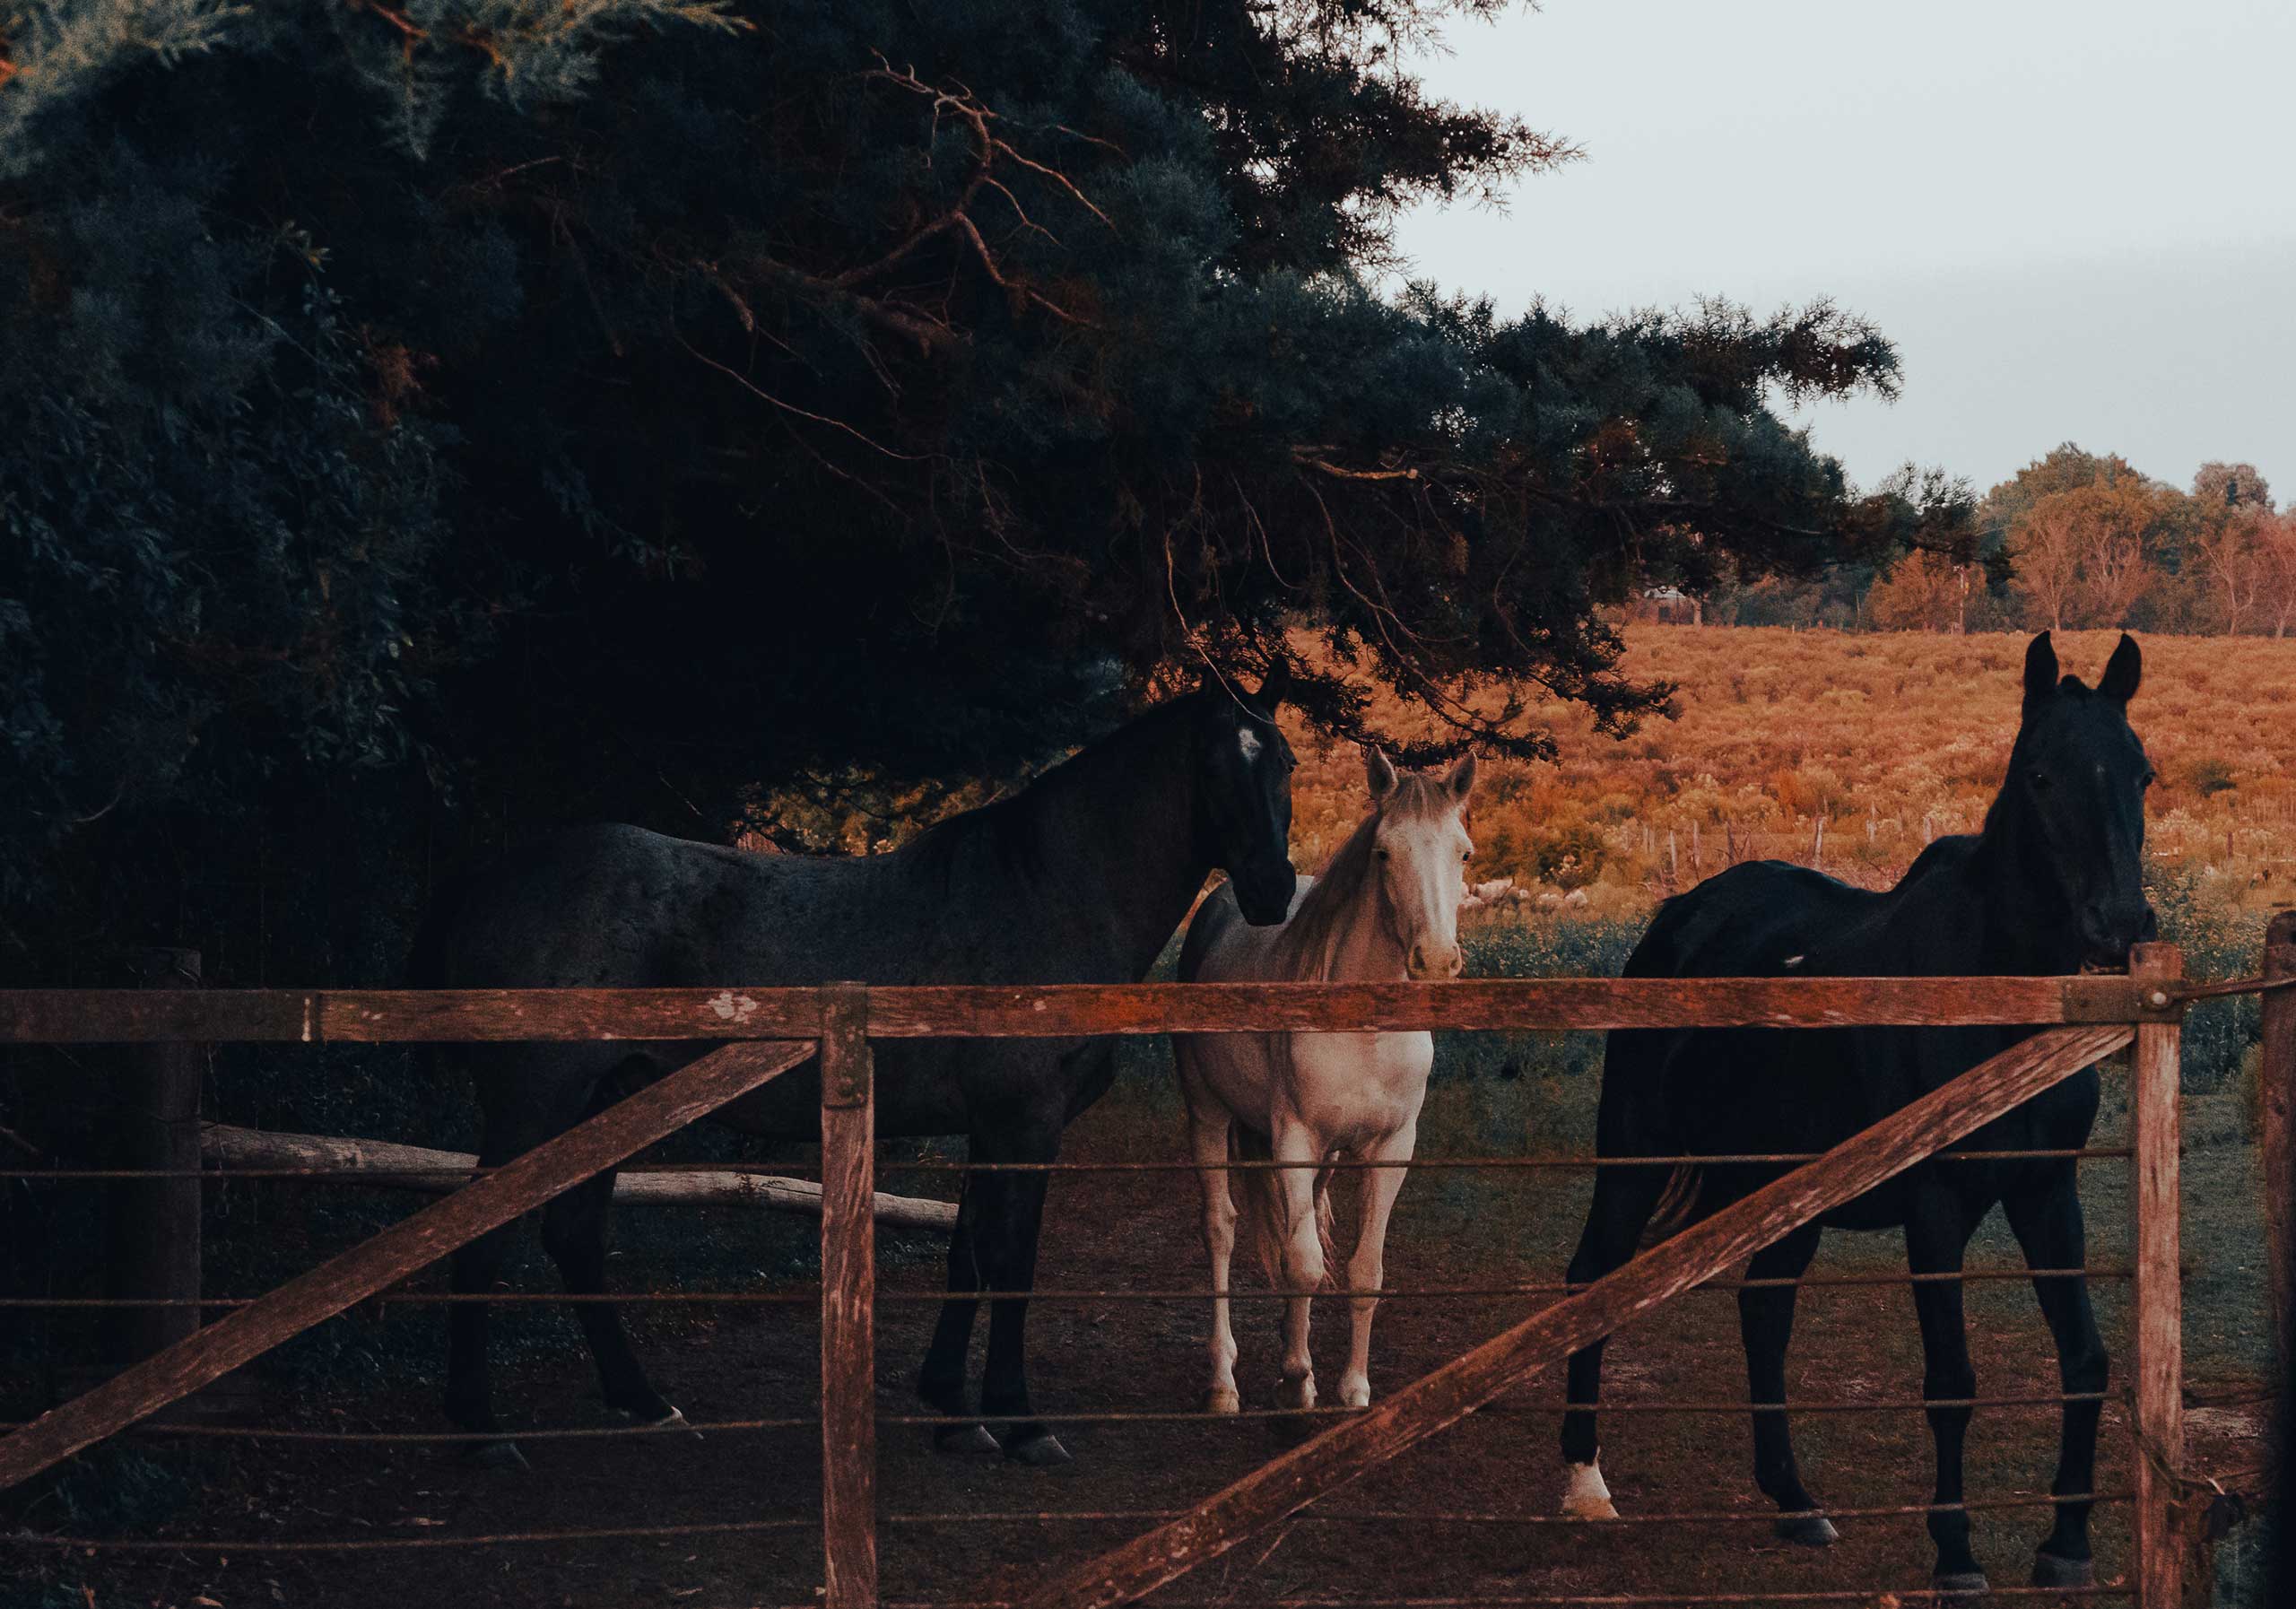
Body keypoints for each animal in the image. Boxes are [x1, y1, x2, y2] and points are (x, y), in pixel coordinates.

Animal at [415, 670, 1304, 1459]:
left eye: (1287, 763)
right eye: (1215, 766)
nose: (1272, 891)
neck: (1042, 894)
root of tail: (491, 879)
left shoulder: (987, 1125)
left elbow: (968, 1253)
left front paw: (954, 1412)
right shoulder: (1025, 1122)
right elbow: (1012, 1258)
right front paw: (1020, 1421)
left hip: (611, 1099)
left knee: (574, 1236)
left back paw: (646, 1402)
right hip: (536, 1105)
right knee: (481, 1240)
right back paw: (483, 1431)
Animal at [1175, 748, 1478, 1413]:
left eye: (1464, 852)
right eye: (1384, 852)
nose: (1436, 961)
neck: (1363, 1026)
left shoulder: (1391, 1148)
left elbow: (1363, 1272)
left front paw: (1351, 1388)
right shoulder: (1295, 1140)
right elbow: (1303, 1265)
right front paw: (1293, 1378)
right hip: (1207, 1115)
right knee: (1220, 1230)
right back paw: (1222, 1383)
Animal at [1561, 629, 2149, 1597]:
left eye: (2141, 771)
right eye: (2039, 775)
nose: (2121, 922)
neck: (1990, 1002)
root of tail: (1678, 915)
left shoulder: (2045, 1193)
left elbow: (2086, 1357)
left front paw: (2066, 1544)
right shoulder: (1937, 1206)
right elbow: (1950, 1379)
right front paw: (1955, 1556)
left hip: (1786, 1191)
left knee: (1763, 1310)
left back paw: (1796, 1503)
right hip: (1633, 1156)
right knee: (1592, 1282)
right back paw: (1584, 1486)